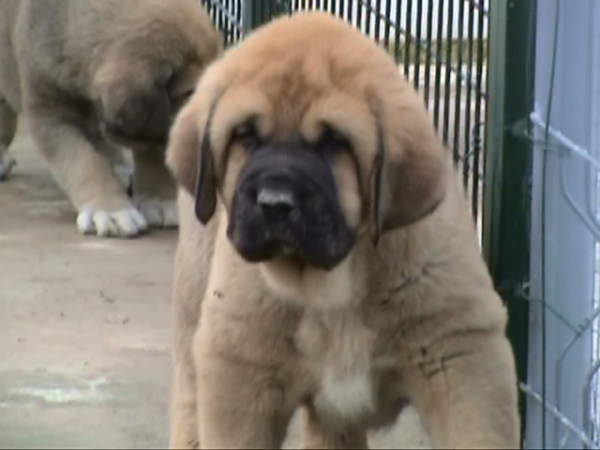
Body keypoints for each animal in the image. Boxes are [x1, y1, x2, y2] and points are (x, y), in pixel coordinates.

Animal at [0, 0, 221, 237]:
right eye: (191, 92)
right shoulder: (50, 112)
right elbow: (85, 161)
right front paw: (112, 210)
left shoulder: (152, 117)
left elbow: (152, 151)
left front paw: (161, 199)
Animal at [165, 10, 520, 450]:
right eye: (245, 135)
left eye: (334, 142)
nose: (274, 202)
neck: (334, 287)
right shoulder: (238, 370)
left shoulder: (460, 352)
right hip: (193, 317)